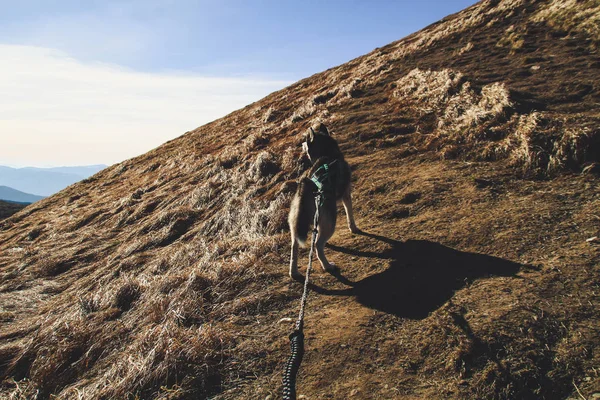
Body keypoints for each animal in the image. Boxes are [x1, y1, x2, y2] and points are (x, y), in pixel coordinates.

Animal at [288, 123, 358, 280]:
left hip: (296, 223)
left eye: (306, 140)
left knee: (295, 245)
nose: (301, 144)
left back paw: (293, 272)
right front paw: (354, 228)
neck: (328, 154)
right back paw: (327, 266)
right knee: (318, 246)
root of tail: (306, 187)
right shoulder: (346, 194)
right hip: (330, 221)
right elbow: (350, 214)